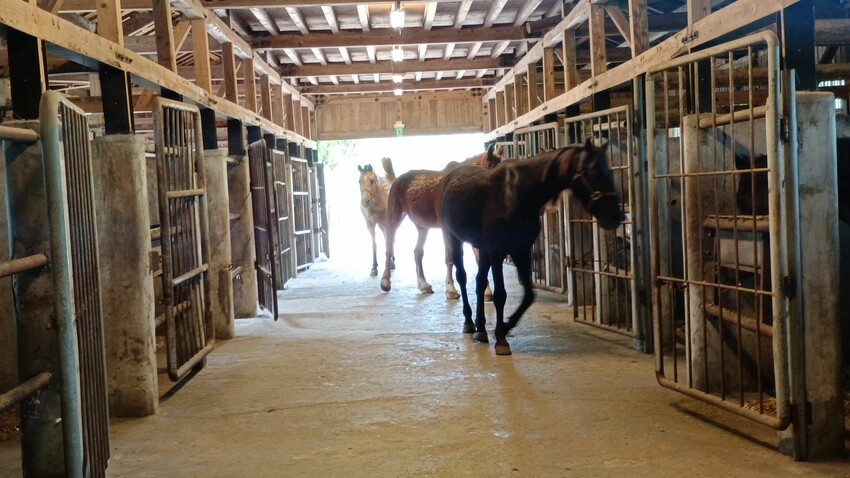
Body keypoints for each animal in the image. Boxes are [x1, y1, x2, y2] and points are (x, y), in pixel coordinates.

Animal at [379, 145, 503, 299]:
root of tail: (397, 179)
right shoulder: (447, 229)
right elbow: (450, 258)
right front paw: (451, 290)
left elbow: (479, 258)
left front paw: (486, 291)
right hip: (394, 218)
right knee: (389, 249)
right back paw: (385, 283)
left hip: (422, 227)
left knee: (417, 252)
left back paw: (424, 285)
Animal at [440, 139, 624, 355]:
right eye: (594, 171)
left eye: (610, 171)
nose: (616, 216)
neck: (518, 194)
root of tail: (450, 176)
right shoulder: (497, 252)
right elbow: (500, 295)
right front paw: (501, 339)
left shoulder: (521, 250)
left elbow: (529, 295)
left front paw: (506, 326)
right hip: (455, 240)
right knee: (462, 277)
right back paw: (469, 323)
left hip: (483, 249)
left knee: (479, 282)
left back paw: (481, 330)